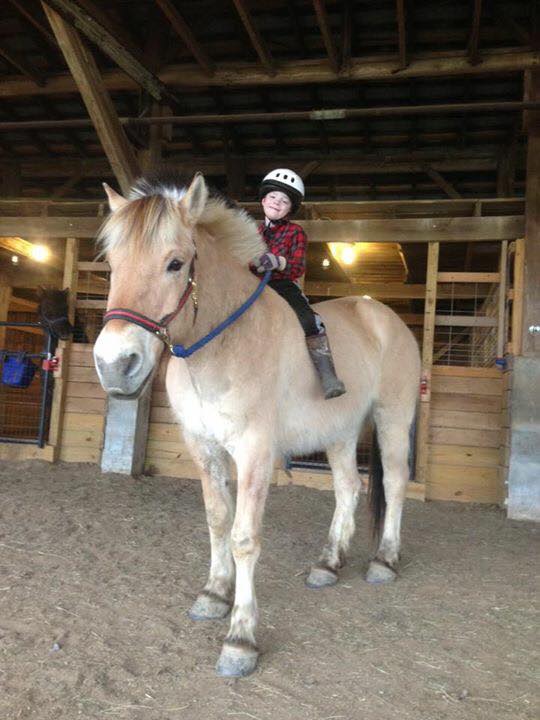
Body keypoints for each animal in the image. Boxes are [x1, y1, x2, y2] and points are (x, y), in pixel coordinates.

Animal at [93, 172, 421, 678]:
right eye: (112, 264)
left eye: (175, 263)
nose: (115, 365)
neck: (221, 344)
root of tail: (383, 315)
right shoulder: (203, 448)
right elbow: (217, 521)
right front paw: (213, 594)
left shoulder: (254, 452)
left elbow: (244, 537)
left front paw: (240, 639)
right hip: (341, 431)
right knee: (348, 488)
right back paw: (328, 564)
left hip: (392, 418)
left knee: (397, 483)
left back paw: (384, 561)